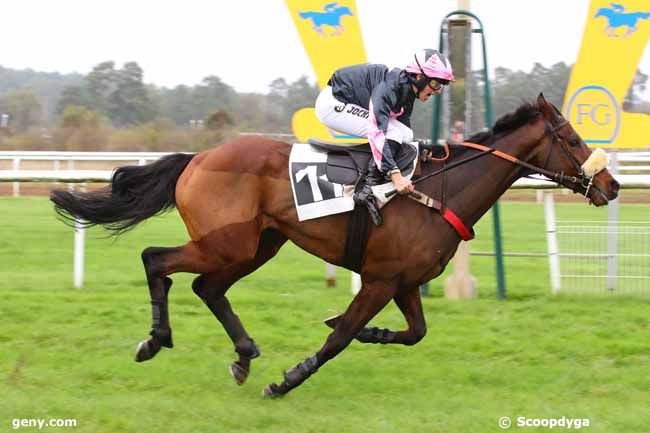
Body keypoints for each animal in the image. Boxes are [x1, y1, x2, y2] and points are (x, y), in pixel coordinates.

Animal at [50, 93, 616, 394]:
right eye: (571, 139)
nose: (610, 186)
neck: (439, 189)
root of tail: (199, 157)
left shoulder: (403, 282)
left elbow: (414, 333)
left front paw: (372, 333)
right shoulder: (381, 279)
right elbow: (340, 336)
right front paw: (288, 379)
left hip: (258, 246)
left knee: (207, 288)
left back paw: (243, 353)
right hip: (225, 243)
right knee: (157, 261)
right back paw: (155, 340)